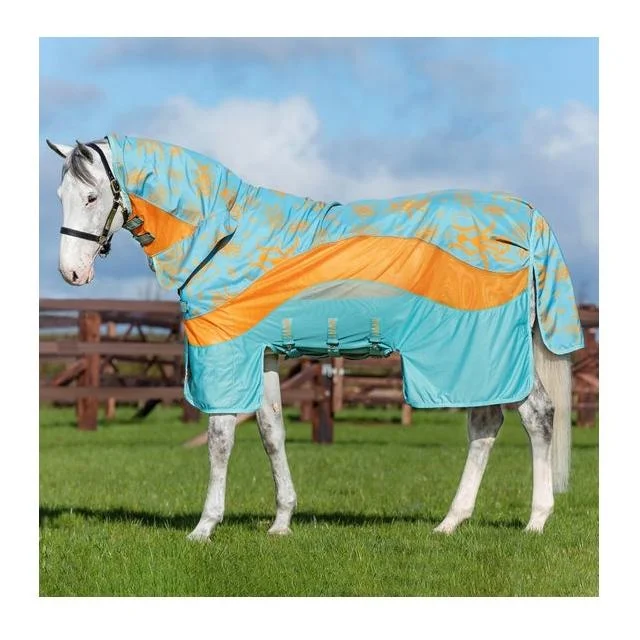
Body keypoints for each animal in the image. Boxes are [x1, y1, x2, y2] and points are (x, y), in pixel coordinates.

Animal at [46, 134, 583, 541]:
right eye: (60, 197)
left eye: (91, 197)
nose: (72, 273)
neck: (224, 238)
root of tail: (525, 216)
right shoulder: (262, 354)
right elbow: (271, 432)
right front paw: (282, 521)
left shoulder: (225, 353)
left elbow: (220, 438)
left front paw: (204, 527)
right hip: (478, 356)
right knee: (487, 425)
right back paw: (451, 522)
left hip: (478, 351)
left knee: (535, 417)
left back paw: (535, 522)